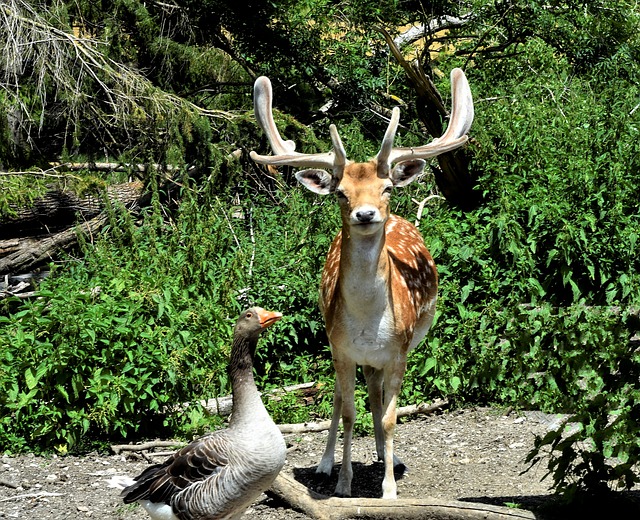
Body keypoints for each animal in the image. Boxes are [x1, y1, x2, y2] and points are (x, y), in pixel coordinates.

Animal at [250, 68, 476, 500]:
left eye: (385, 187)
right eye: (341, 192)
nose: (367, 213)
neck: (369, 322)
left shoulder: (399, 352)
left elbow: (388, 416)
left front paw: (388, 488)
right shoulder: (341, 349)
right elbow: (349, 410)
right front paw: (342, 482)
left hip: (392, 351)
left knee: (377, 396)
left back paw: (391, 457)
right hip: (340, 346)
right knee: (344, 397)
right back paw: (326, 464)